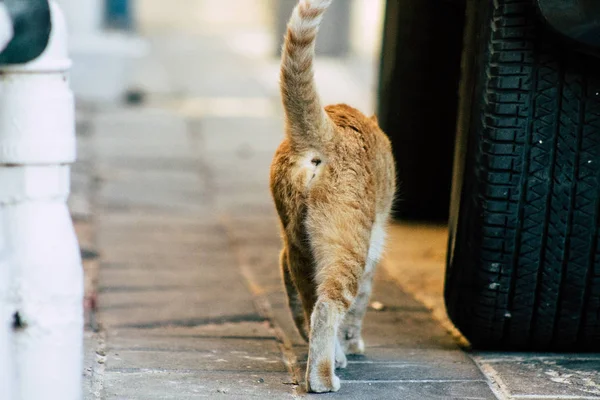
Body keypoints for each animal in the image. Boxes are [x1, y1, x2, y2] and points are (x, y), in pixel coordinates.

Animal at [270, 0, 396, 394]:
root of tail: (328, 130)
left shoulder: (288, 256)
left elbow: (298, 308)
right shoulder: (371, 255)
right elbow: (355, 311)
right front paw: (352, 344)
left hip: (299, 244)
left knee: (311, 303)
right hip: (348, 249)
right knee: (327, 308)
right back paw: (324, 378)